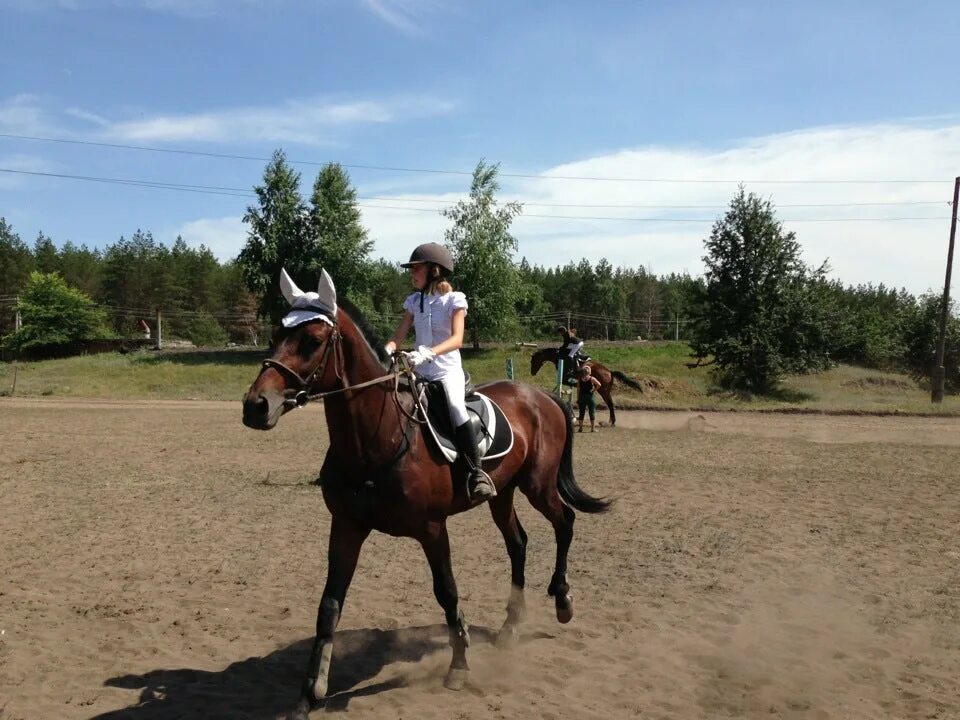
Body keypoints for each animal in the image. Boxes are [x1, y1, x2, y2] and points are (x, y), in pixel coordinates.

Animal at [244, 272, 612, 720]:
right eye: (276, 334)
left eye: (312, 341)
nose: (256, 406)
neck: (374, 440)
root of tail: (541, 396)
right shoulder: (346, 526)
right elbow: (329, 604)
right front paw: (309, 693)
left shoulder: (432, 528)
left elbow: (447, 591)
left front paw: (459, 666)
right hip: (502, 494)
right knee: (518, 543)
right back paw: (511, 626)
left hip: (538, 485)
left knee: (565, 523)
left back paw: (562, 601)